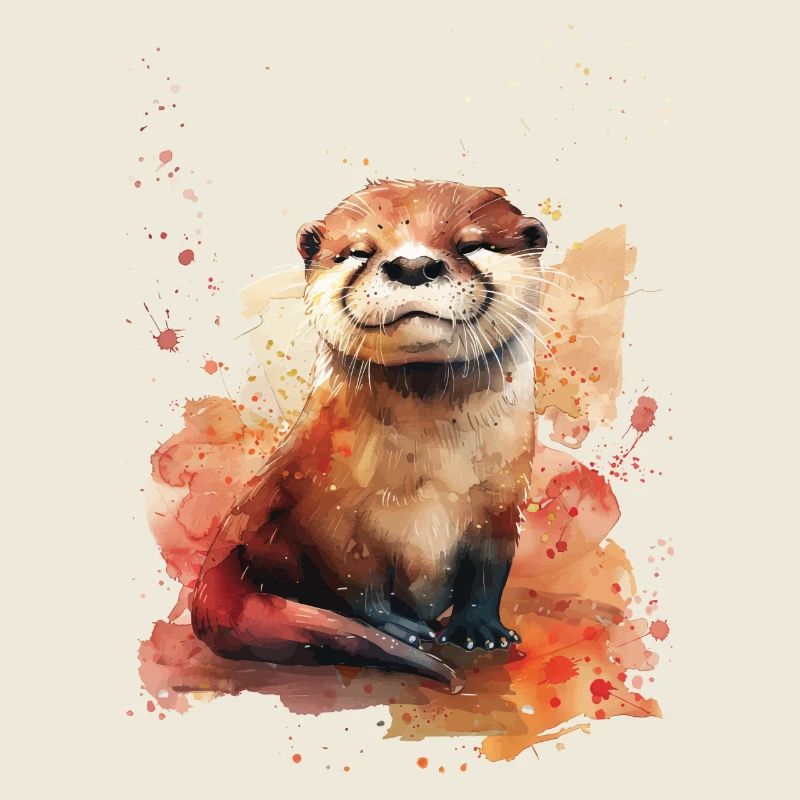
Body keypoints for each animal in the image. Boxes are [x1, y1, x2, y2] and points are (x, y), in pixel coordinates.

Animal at [191, 179, 548, 692]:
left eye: (472, 244)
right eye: (359, 251)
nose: (414, 265)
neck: (430, 474)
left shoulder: (503, 499)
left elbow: (488, 572)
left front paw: (481, 630)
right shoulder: (324, 508)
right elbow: (356, 584)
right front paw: (397, 627)